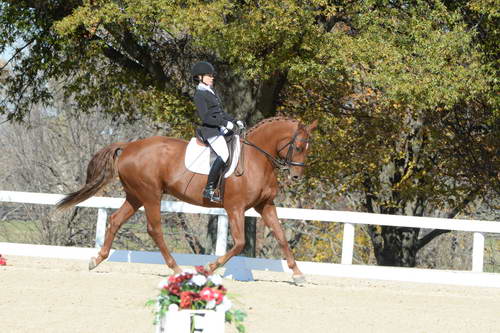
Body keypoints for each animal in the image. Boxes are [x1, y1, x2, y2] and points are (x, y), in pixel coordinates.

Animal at [57, 115, 316, 282]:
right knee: (154, 229)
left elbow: (281, 237)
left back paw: (96, 259)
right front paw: (209, 268)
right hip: (150, 195)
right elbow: (240, 243)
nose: (295, 176)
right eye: (298, 146)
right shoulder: (235, 208)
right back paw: (177, 269)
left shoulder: (265, 205)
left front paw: (298, 274)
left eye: (307, 147)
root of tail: (129, 146)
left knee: (115, 220)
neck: (256, 158)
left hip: (135, 196)